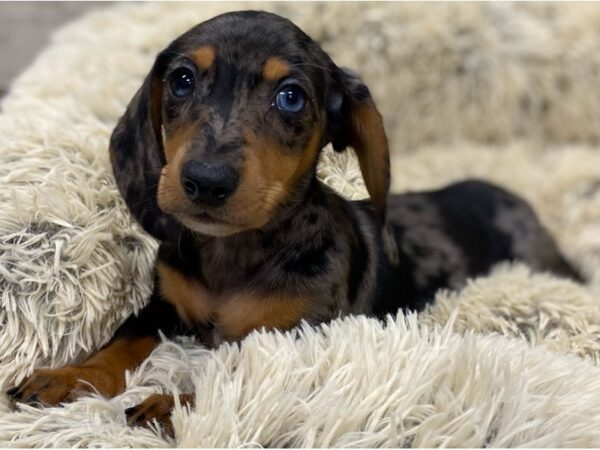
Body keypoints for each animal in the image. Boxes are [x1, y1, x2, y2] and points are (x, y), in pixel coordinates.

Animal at [7, 10, 580, 438]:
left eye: (291, 96)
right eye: (182, 80)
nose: (205, 181)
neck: (235, 252)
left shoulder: (297, 338)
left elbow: (243, 378)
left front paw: (172, 403)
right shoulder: (163, 303)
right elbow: (122, 340)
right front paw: (70, 376)